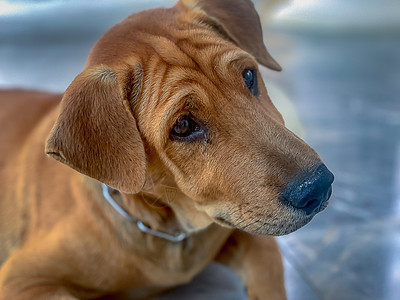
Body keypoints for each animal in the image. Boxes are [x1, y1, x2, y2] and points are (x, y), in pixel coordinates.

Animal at [0, 1, 334, 298]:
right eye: (183, 126)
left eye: (249, 75)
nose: (318, 186)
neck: (168, 229)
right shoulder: (22, 278)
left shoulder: (251, 236)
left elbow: (269, 281)